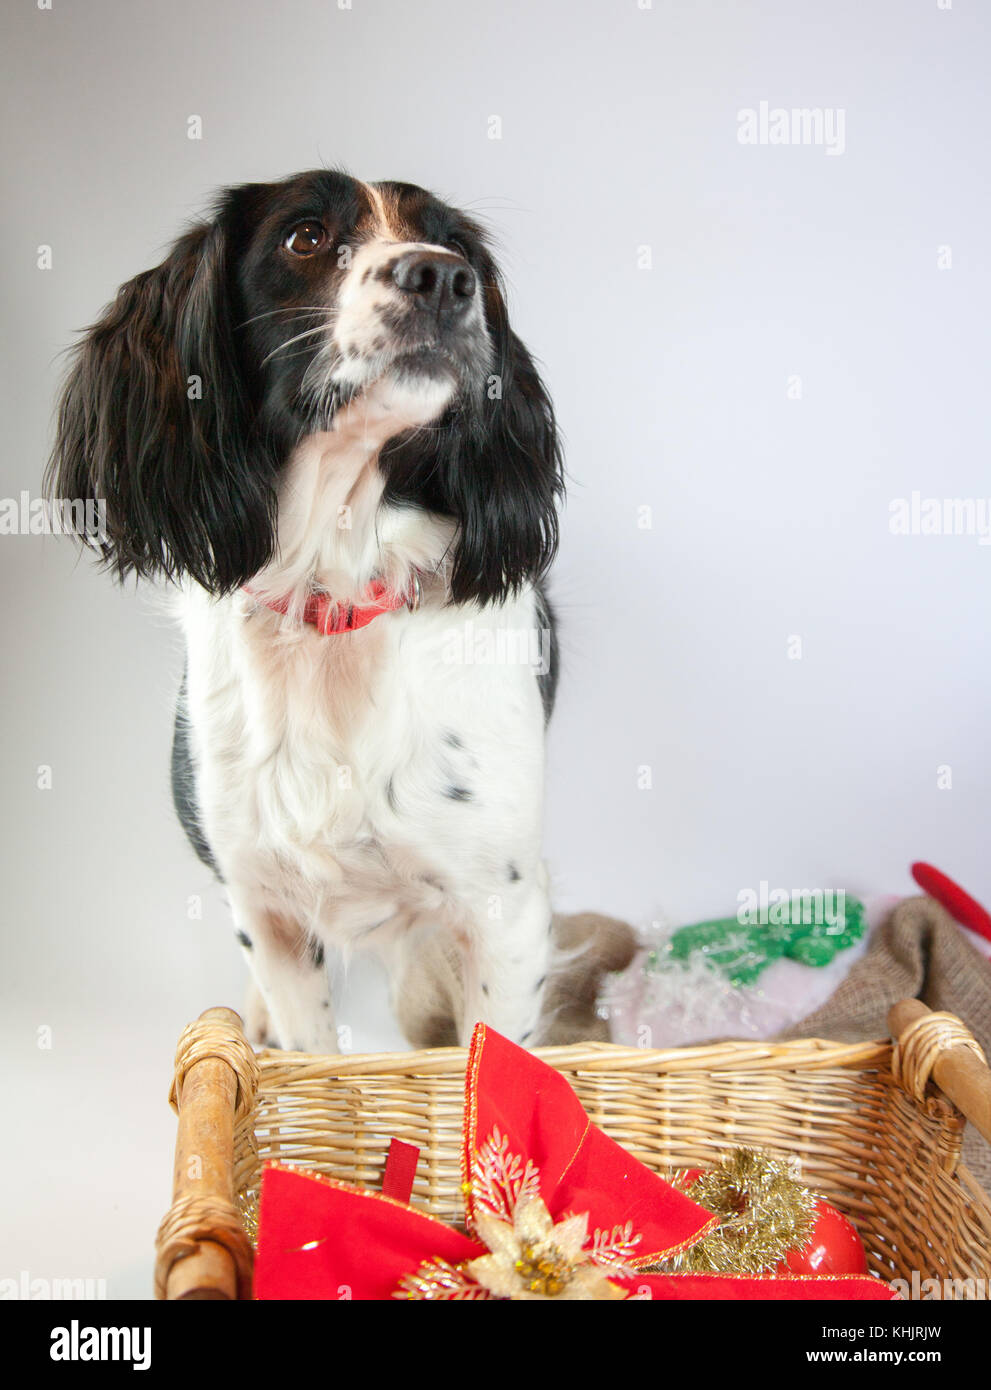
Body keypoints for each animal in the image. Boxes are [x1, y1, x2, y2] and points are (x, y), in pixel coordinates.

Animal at [46, 165, 594, 1050]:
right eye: (304, 236)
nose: (443, 277)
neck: (334, 596)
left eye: (455, 244)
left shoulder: (506, 910)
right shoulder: (263, 907)